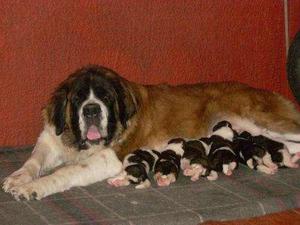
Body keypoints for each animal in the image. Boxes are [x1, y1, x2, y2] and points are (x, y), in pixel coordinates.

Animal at [3, 40, 300, 200]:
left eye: (105, 97)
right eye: (77, 98)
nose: (92, 110)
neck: (76, 143)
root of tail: (263, 90)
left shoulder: (108, 158)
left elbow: (65, 172)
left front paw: (33, 188)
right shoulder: (50, 140)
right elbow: (34, 160)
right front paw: (18, 178)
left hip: (262, 121)